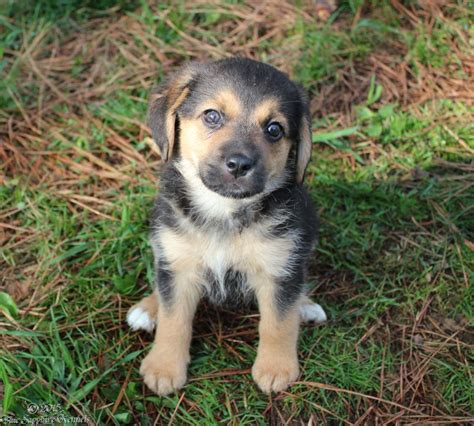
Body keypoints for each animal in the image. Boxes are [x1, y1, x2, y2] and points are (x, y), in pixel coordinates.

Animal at [126, 57, 326, 396]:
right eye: (212, 116)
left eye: (274, 129)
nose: (239, 164)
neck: (224, 211)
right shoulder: (178, 264)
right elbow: (173, 319)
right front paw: (164, 367)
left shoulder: (280, 267)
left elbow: (278, 322)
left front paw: (276, 368)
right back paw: (148, 308)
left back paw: (306, 306)